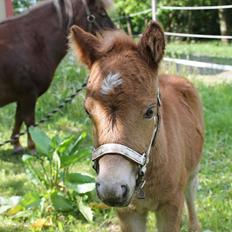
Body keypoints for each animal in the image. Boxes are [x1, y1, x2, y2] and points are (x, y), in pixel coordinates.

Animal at [0, 0, 114, 152]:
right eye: (101, 13)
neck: (30, 42)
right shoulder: (28, 94)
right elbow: (29, 121)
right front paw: (32, 147)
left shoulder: (22, 96)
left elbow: (19, 118)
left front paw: (16, 144)